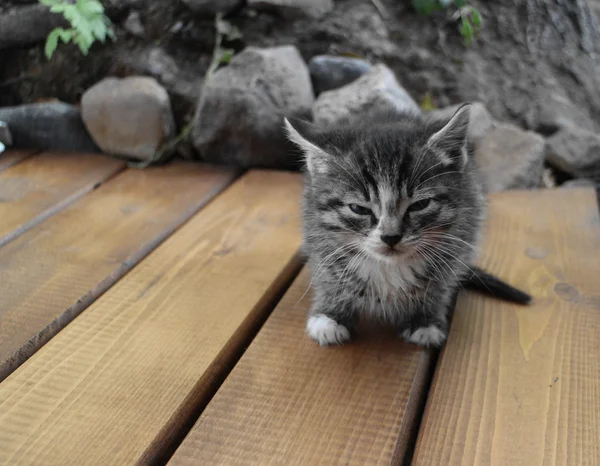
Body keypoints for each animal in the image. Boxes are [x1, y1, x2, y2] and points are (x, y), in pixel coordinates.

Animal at [284, 104, 528, 346]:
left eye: (420, 205)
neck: (389, 266)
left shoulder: (462, 233)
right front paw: (330, 315)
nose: (390, 236)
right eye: (358, 209)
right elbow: (328, 272)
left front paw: (424, 319)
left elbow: (440, 282)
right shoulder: (317, 233)